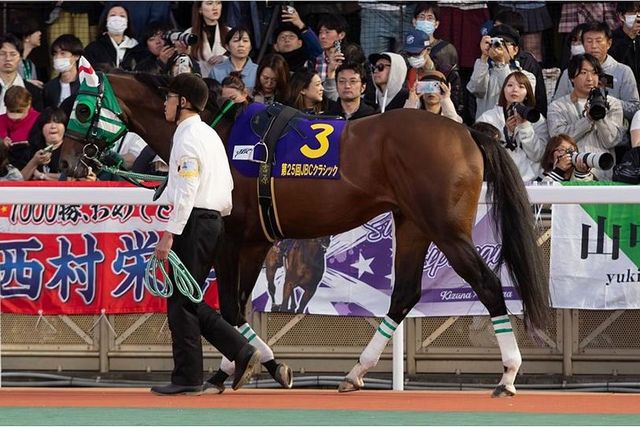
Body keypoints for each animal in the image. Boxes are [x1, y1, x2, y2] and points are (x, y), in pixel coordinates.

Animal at [60, 72, 549, 397]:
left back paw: (508, 374)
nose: (64, 160)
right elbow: (235, 307)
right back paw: (355, 373)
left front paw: (257, 365)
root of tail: (468, 131)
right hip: (412, 225)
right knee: (404, 294)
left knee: (487, 284)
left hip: (445, 229)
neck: (217, 131)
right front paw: (240, 367)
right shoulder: (256, 241)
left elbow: (229, 305)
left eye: (80, 108)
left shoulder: (233, 238)